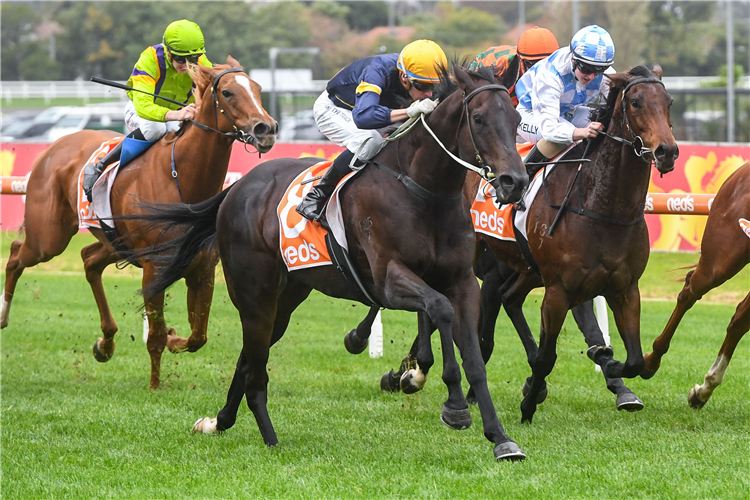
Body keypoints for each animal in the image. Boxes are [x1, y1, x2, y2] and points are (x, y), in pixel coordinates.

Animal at [0, 56, 278, 388]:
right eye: (227, 92)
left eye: (258, 89)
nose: (266, 129)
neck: (183, 180)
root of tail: (55, 146)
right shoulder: (154, 267)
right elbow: (156, 335)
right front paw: (155, 385)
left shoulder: (203, 268)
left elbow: (198, 337)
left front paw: (173, 339)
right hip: (48, 238)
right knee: (16, 254)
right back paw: (2, 315)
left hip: (115, 242)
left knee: (88, 260)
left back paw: (105, 343)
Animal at [126, 66, 532, 460]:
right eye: (478, 118)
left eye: (515, 118)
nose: (515, 180)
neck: (424, 190)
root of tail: (235, 188)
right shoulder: (389, 280)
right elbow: (440, 309)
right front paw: (453, 404)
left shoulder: (463, 282)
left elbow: (475, 359)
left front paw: (501, 439)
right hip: (253, 293)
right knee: (255, 367)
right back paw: (270, 439)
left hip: (286, 297)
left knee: (250, 357)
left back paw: (218, 421)